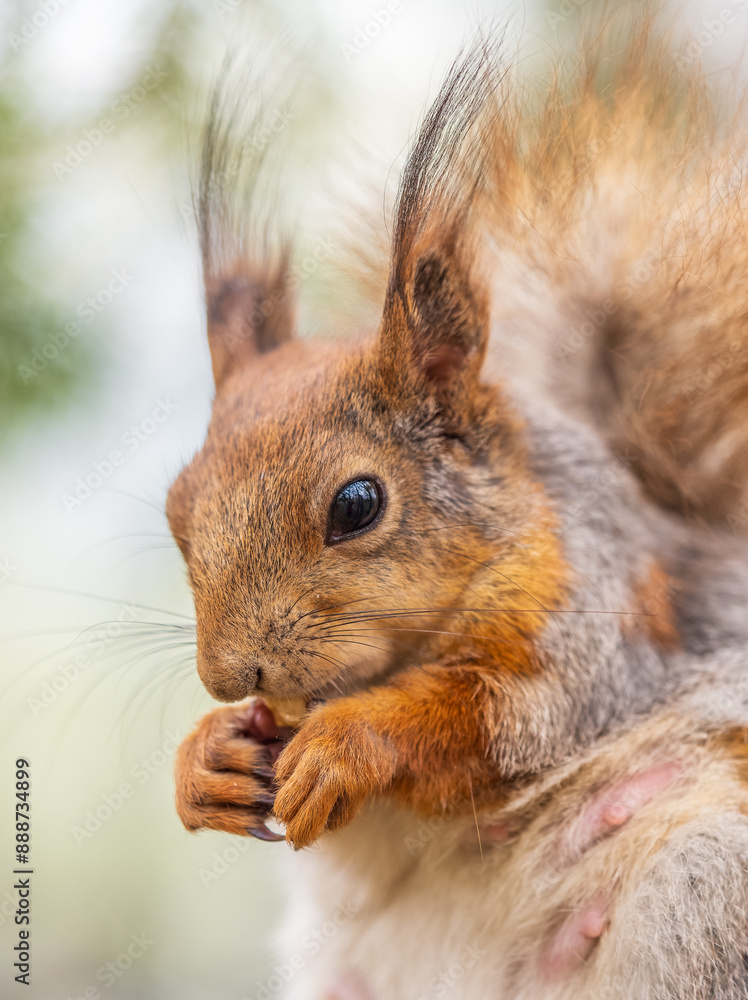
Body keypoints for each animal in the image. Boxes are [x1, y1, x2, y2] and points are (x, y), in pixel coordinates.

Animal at [169, 10, 748, 1000]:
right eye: (175, 509)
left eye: (357, 504)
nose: (228, 675)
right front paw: (204, 758)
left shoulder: (595, 624)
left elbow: (500, 718)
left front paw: (352, 740)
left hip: (702, 888)